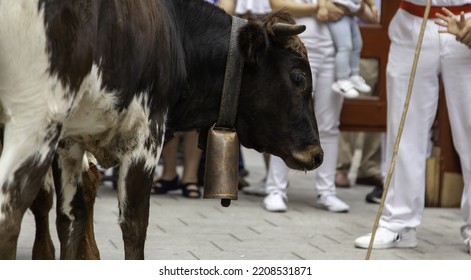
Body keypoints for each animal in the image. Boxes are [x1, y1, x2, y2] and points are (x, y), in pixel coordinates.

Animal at [0, 0, 324, 260]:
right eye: (298, 77)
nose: (317, 154)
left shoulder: (71, 141)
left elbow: (70, 217)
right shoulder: (145, 138)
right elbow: (135, 224)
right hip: (34, 119)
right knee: (10, 214)